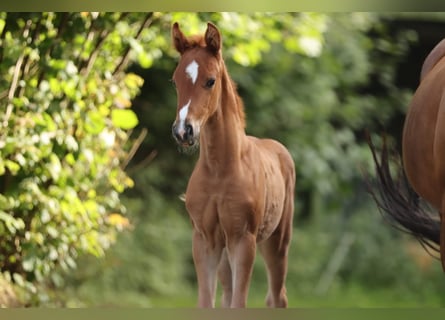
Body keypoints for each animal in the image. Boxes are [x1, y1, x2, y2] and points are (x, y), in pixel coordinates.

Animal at [170, 22, 294, 308]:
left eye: (210, 80)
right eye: (175, 81)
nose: (183, 131)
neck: (219, 170)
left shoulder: (243, 239)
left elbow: (240, 303)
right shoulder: (204, 240)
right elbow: (207, 303)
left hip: (277, 242)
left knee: (277, 297)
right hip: (225, 252)